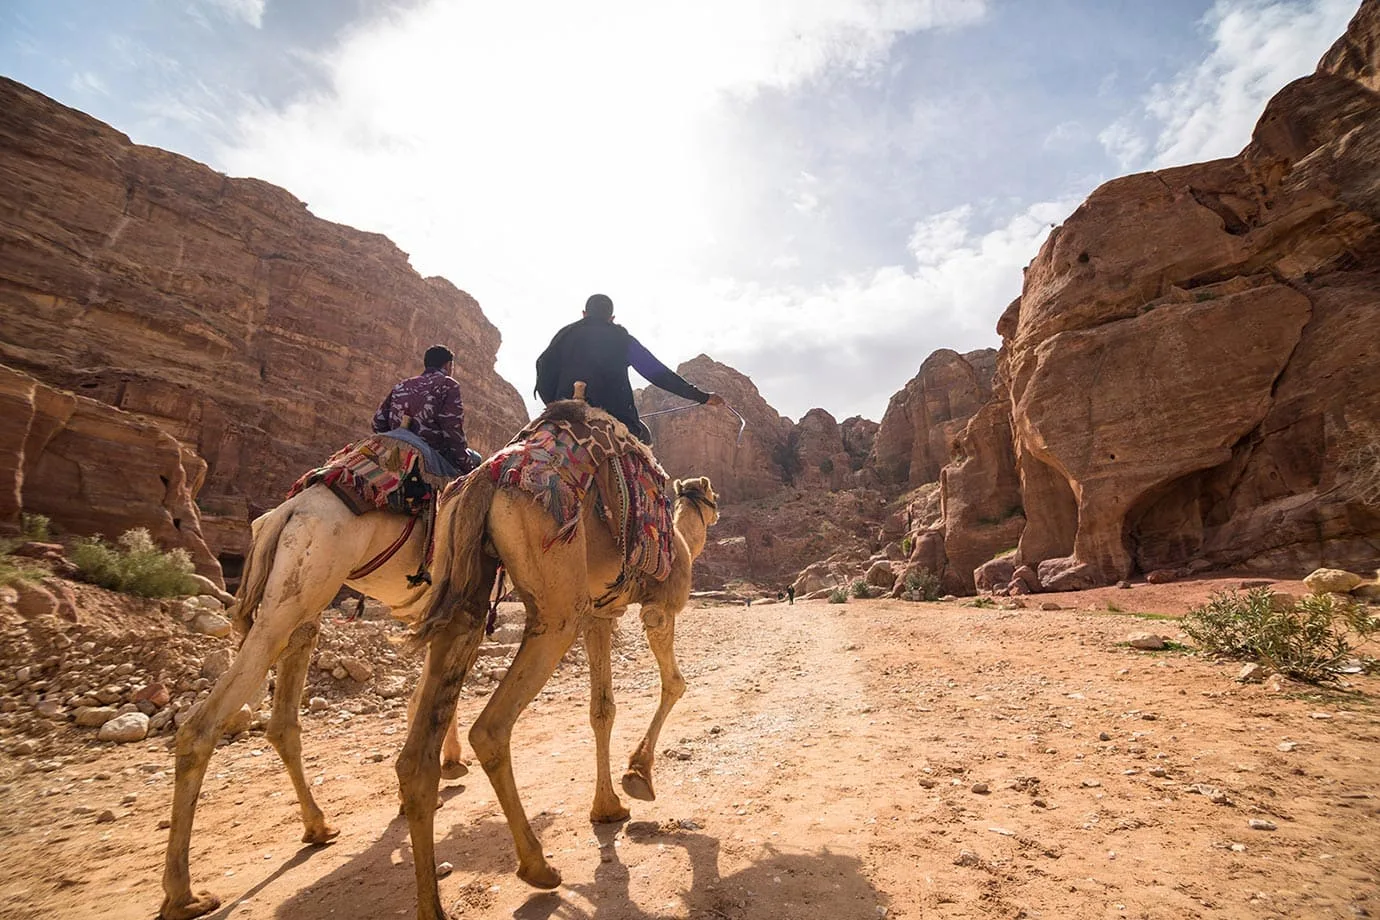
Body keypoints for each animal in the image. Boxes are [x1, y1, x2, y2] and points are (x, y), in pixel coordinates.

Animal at [160, 482, 469, 920]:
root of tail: (284, 513)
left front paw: (430, 777)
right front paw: (450, 763)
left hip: (299, 600)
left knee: (281, 720)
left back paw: (318, 827)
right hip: (303, 584)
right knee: (202, 726)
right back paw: (185, 896)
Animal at [394, 402, 717, 920]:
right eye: (712, 497)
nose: (715, 508)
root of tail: (486, 478)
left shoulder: (600, 615)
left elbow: (602, 710)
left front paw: (607, 808)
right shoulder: (659, 607)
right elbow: (675, 684)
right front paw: (638, 775)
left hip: (466, 584)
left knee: (416, 754)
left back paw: (434, 904)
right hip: (557, 601)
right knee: (491, 727)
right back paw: (537, 867)